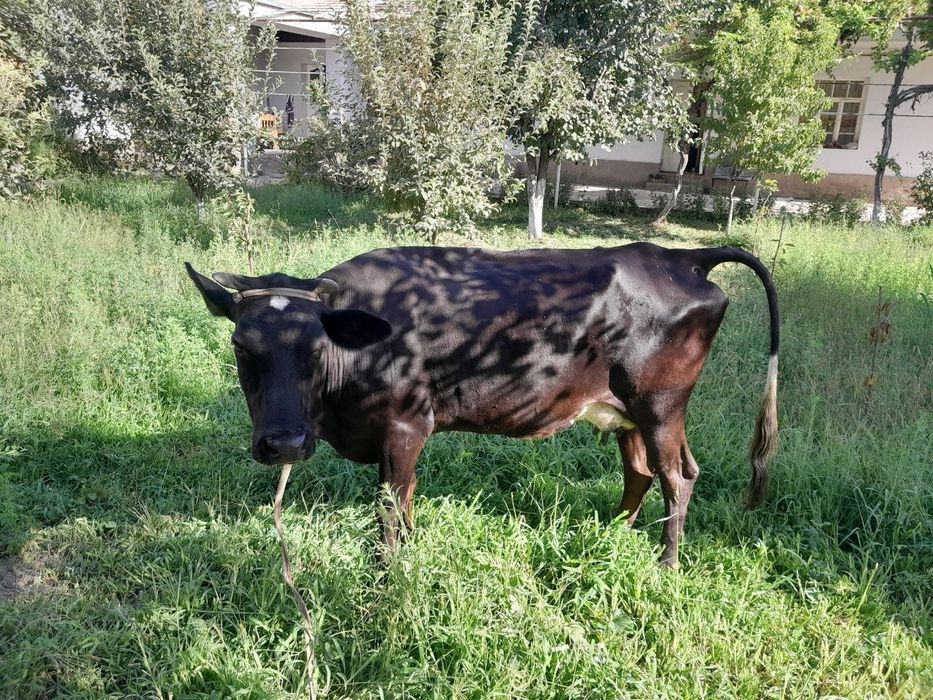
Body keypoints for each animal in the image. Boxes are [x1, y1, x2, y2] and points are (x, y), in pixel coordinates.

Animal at [186, 242, 779, 568]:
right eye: (241, 346)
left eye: (315, 346)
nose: (283, 442)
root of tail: (678, 257)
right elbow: (406, 499)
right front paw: (411, 552)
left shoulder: (404, 424)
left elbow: (388, 506)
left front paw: (388, 572)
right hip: (624, 407)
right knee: (641, 470)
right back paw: (610, 535)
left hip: (660, 402)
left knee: (678, 475)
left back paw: (666, 562)